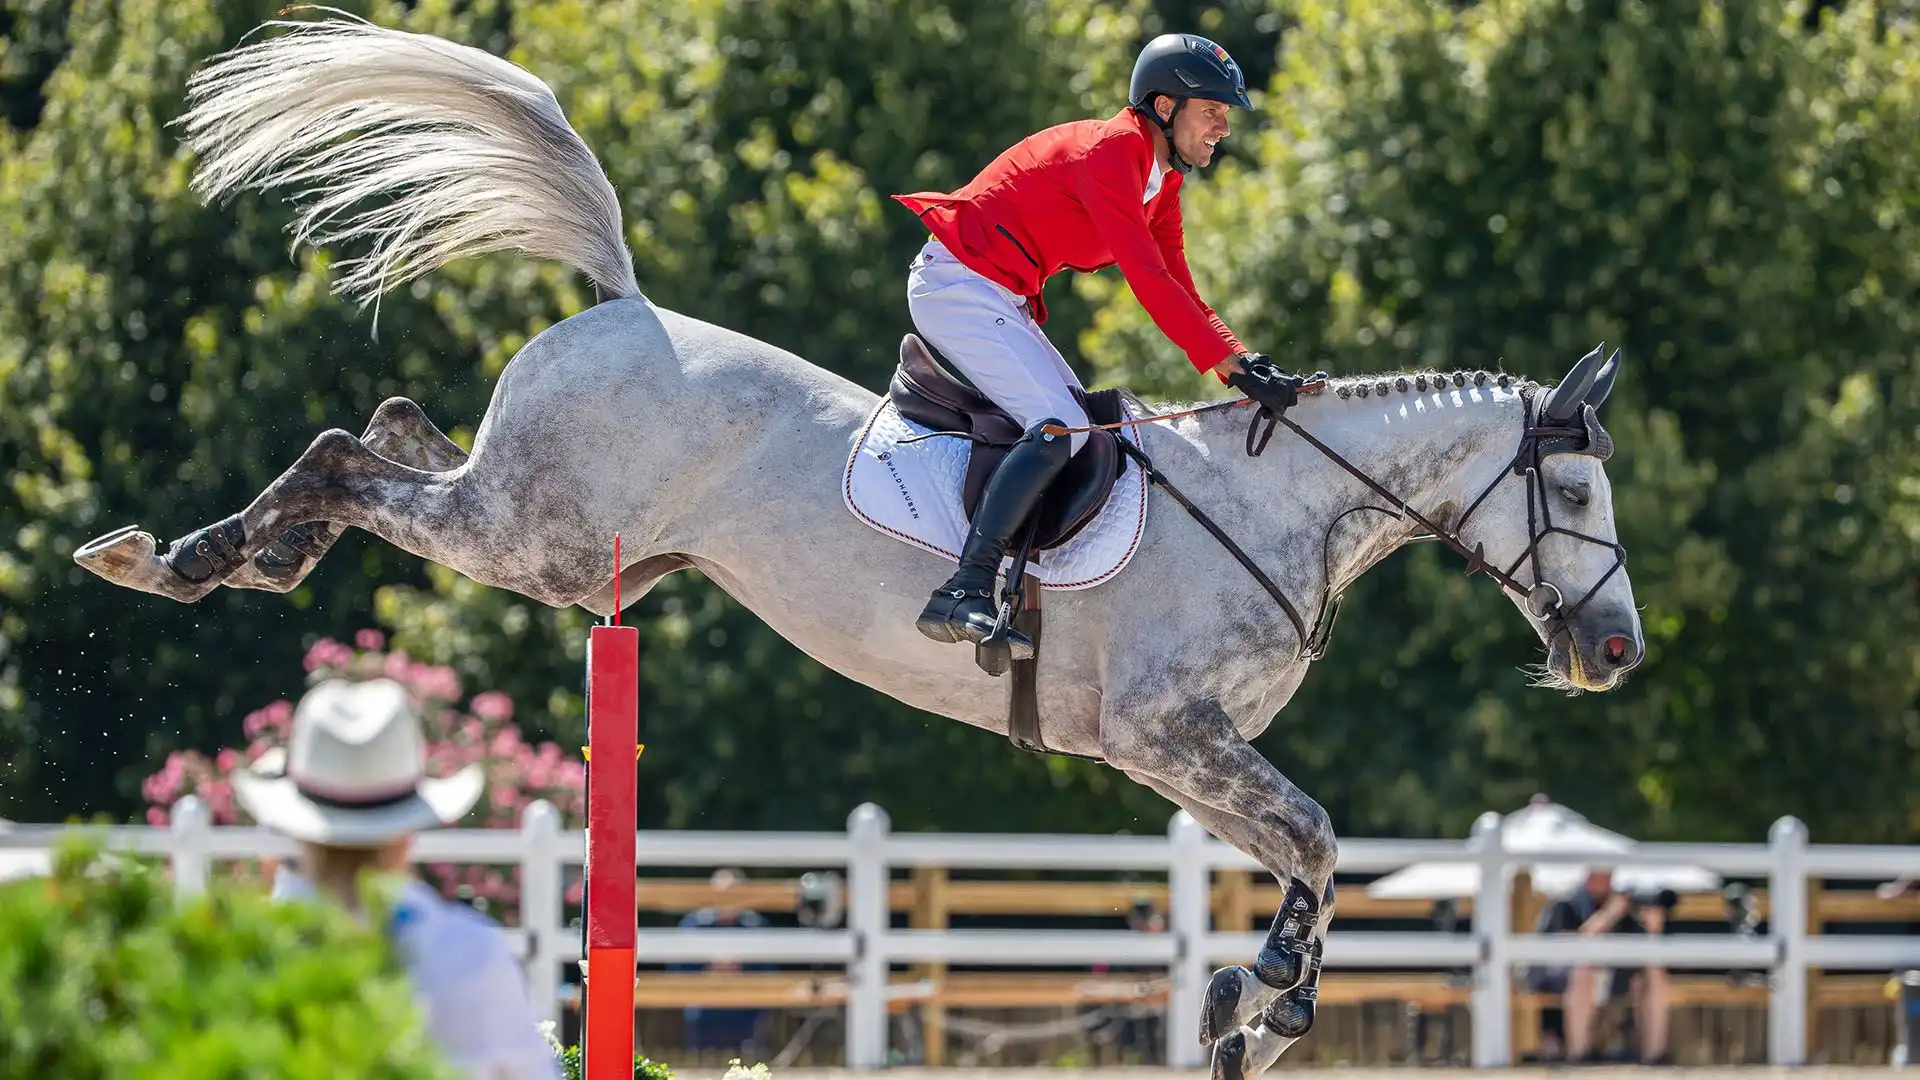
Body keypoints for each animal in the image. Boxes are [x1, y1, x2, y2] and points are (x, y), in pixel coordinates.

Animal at [67, 14, 1643, 1068]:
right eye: (1572, 499)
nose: (1619, 652)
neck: (1280, 502)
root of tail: (623, 306)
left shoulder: (1172, 757)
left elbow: (1311, 851)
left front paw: (1248, 1010)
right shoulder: (1167, 732)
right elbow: (1315, 836)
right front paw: (1263, 1002)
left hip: (541, 533)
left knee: (391, 428)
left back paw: (228, 553)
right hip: (542, 545)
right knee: (352, 461)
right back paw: (184, 558)